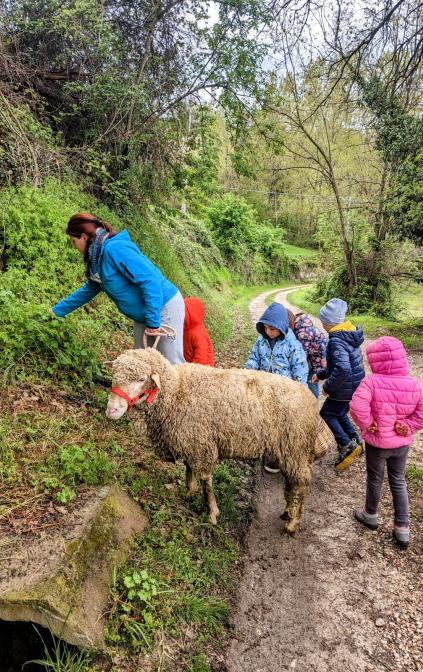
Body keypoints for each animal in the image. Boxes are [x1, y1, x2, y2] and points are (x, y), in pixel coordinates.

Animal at [105, 350, 318, 532]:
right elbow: (189, 470)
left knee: (301, 483)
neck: (177, 391)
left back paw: (293, 522)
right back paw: (287, 512)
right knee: (292, 482)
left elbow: (206, 482)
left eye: (141, 379)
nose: (111, 410)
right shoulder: (190, 440)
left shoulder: (201, 444)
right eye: (114, 374)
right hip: (290, 451)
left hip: (295, 447)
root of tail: (309, 399)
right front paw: (189, 492)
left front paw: (211, 514)